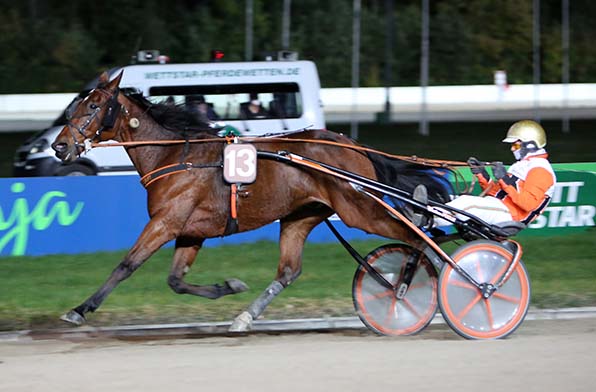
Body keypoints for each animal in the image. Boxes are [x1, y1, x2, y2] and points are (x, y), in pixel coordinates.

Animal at [52, 71, 452, 330]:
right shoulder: (190, 230)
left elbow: (126, 265)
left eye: (95, 105)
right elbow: (176, 280)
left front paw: (80, 309)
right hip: (301, 216)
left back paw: (439, 284)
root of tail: (354, 146)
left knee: (417, 235)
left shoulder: (165, 222)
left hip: (360, 210)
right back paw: (245, 316)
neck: (174, 155)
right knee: (289, 270)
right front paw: (229, 287)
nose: (59, 145)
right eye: (78, 104)